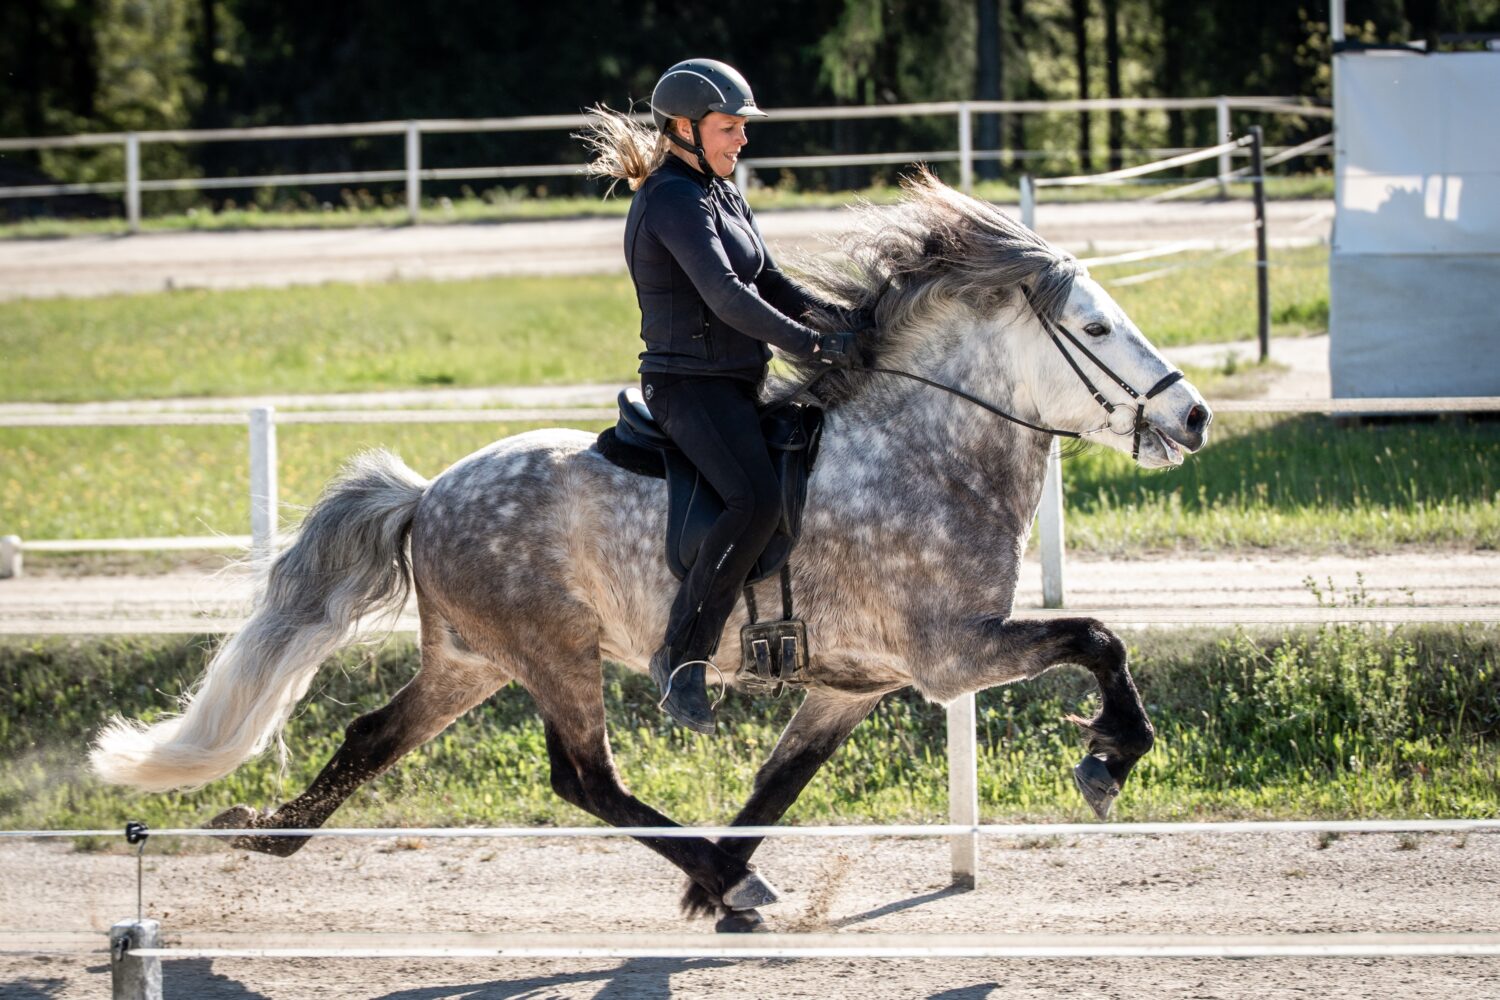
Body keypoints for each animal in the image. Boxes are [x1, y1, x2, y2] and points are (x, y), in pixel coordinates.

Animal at [89, 171, 1211, 932]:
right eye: (1096, 328)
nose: (1193, 416)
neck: (925, 449)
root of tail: (429, 494)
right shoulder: (953, 654)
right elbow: (1098, 637)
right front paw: (1110, 757)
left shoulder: (855, 684)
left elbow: (777, 783)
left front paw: (721, 879)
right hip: (551, 653)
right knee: (582, 778)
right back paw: (721, 876)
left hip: (473, 658)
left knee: (373, 735)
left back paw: (264, 829)